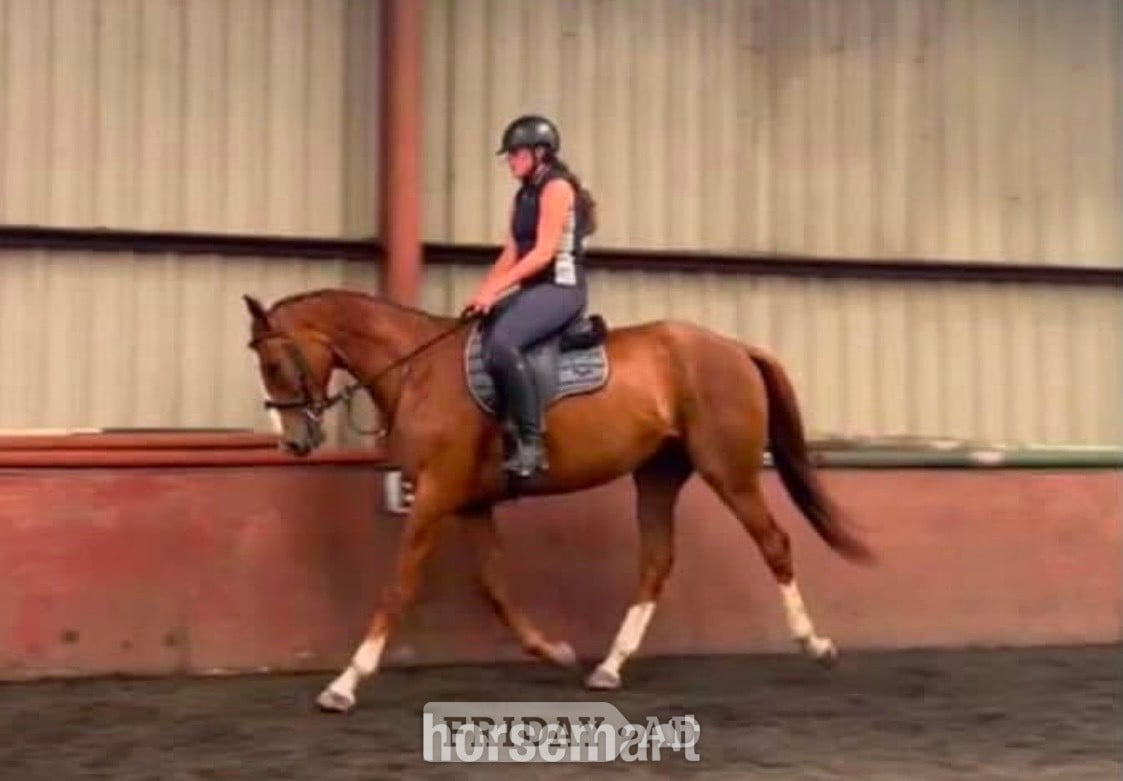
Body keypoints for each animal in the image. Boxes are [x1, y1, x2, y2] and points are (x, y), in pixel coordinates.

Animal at [242, 288, 874, 713]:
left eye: (274, 363)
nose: (293, 443)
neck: (418, 369)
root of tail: (736, 348)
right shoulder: (470, 505)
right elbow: (494, 587)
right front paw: (555, 650)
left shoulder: (437, 495)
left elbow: (400, 584)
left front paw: (345, 682)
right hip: (658, 475)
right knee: (656, 561)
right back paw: (609, 667)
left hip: (730, 472)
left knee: (774, 542)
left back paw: (815, 644)